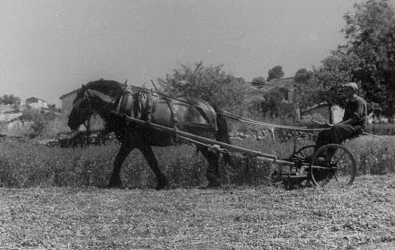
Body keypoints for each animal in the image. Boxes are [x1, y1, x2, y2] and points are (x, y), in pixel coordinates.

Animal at [68, 79, 234, 188]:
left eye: (80, 102)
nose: (70, 123)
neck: (123, 105)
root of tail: (208, 105)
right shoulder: (133, 143)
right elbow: (122, 160)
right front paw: (114, 181)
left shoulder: (135, 142)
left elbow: (147, 161)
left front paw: (162, 182)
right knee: (214, 154)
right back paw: (214, 179)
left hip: (204, 138)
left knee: (213, 154)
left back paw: (214, 179)